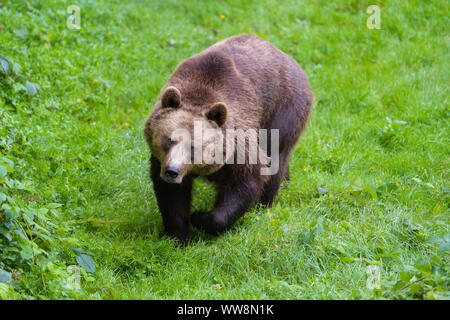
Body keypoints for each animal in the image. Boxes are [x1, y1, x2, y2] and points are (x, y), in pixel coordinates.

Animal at [144, 33, 312, 241]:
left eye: (194, 147)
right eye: (169, 140)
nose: (172, 171)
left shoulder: (238, 141)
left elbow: (247, 180)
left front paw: (200, 217)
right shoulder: (162, 159)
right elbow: (172, 196)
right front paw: (178, 236)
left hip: (283, 111)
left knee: (275, 158)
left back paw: (263, 205)